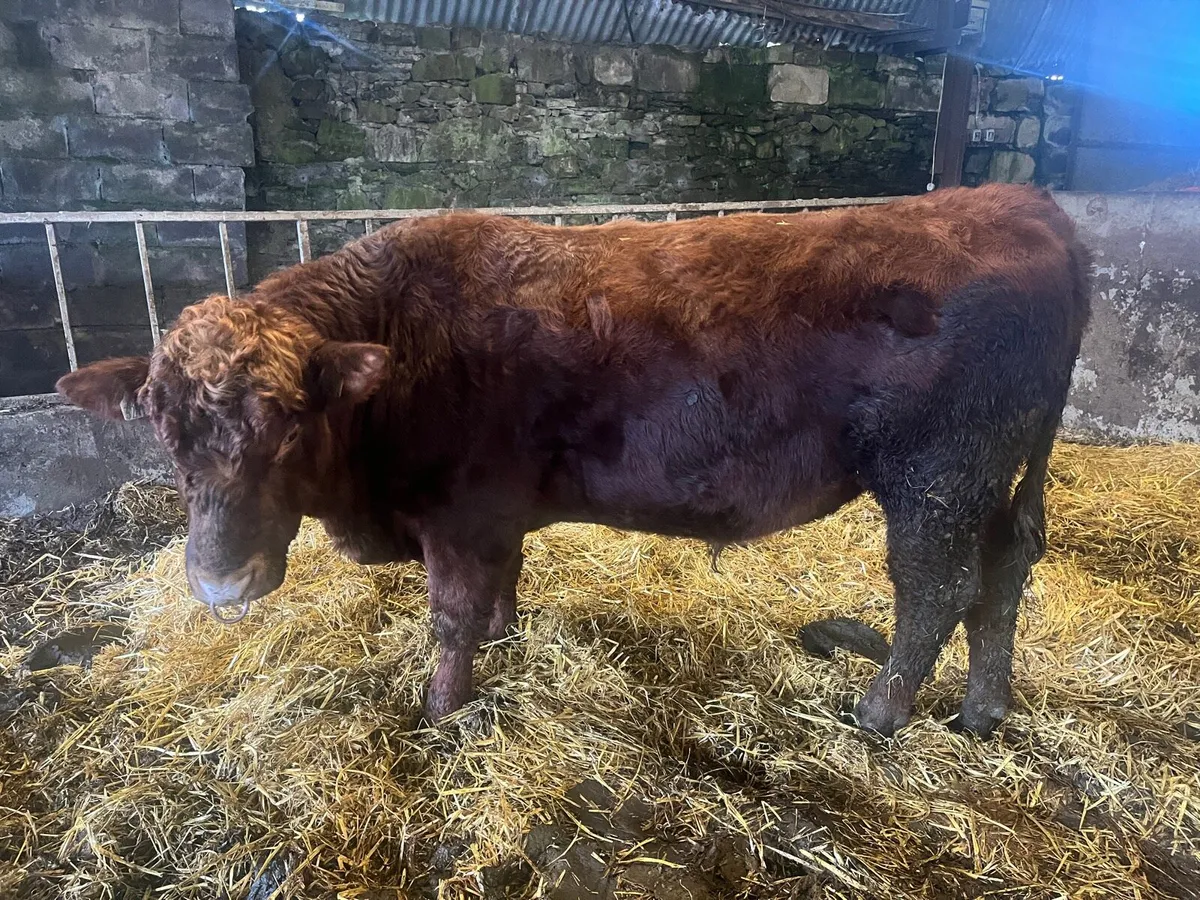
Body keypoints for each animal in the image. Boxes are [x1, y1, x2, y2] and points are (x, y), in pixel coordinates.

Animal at [57, 184, 1091, 738]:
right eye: (163, 431)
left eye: (288, 426)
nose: (220, 586)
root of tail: (1016, 201)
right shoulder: (496, 514)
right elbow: (503, 585)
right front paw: (506, 642)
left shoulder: (458, 515)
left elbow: (451, 618)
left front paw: (443, 709)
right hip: (998, 479)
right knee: (1005, 573)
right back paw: (984, 708)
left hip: (936, 479)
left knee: (937, 589)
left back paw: (880, 710)